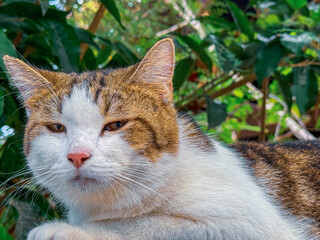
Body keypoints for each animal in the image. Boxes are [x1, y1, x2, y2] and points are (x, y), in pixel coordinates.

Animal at [3, 38, 320, 239]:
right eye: (56, 128)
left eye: (115, 125)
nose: (77, 155)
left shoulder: (254, 226)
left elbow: (150, 224)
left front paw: (73, 231)